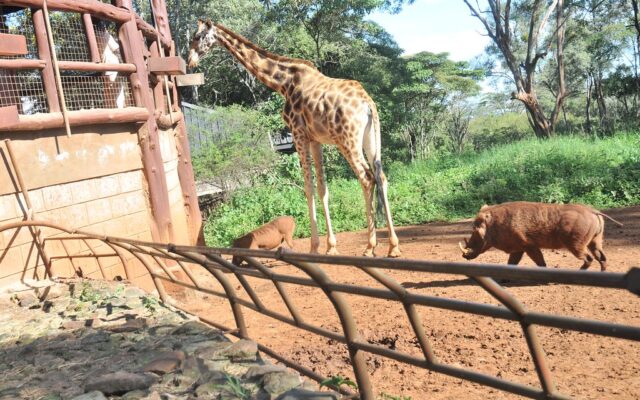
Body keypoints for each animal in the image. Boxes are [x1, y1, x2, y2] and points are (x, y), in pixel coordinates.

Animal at [188, 19, 401, 258]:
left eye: (197, 37)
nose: (190, 61)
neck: (282, 82)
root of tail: (368, 104)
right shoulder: (315, 140)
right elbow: (322, 189)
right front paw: (331, 246)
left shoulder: (298, 134)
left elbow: (308, 189)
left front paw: (315, 246)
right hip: (370, 138)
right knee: (381, 177)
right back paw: (393, 246)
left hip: (347, 140)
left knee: (366, 178)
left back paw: (370, 246)